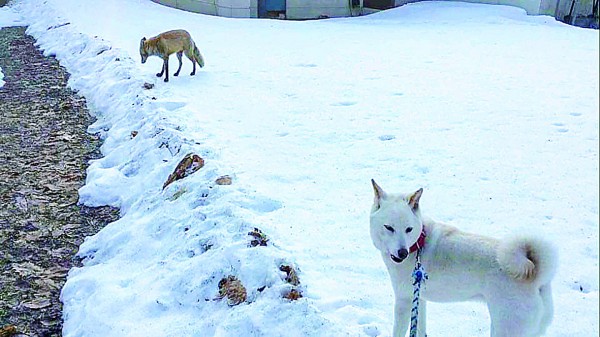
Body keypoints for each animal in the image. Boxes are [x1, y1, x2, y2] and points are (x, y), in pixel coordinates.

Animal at [368, 180, 560, 334]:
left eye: (409, 229)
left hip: (506, 327)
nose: (402, 253)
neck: (418, 244)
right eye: (389, 227)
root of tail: (536, 275)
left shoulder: (404, 300)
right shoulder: (419, 298)